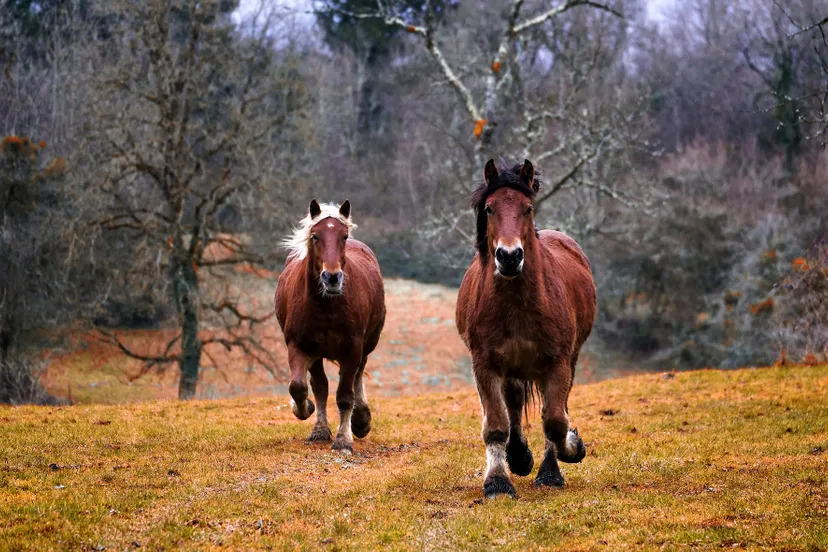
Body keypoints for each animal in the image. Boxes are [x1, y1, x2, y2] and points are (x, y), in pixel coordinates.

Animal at [275, 199, 386, 453]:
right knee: (320, 386)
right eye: (315, 236)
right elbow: (301, 387)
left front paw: (344, 440)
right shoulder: (300, 346)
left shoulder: (352, 349)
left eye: (343, 236)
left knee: (357, 377)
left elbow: (345, 396)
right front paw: (307, 413)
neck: (325, 306)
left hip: (367, 345)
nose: (332, 278)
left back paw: (361, 420)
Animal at [455, 159, 597, 498]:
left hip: (565, 362)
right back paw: (518, 456)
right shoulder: (485, 364)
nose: (509, 257)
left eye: (528, 208)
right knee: (514, 405)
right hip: (512, 368)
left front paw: (566, 455)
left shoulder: (558, 363)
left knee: (551, 408)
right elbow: (497, 424)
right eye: (490, 208)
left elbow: (555, 421)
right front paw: (498, 481)